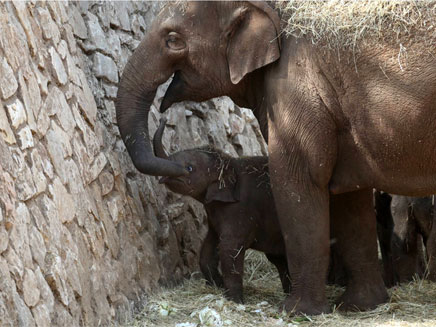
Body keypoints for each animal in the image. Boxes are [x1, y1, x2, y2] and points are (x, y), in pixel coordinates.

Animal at [153, 119, 290, 304]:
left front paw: (235, 301)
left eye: (189, 168)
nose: (163, 120)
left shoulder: (240, 210)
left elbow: (229, 249)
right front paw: (217, 286)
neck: (230, 164)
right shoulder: (214, 216)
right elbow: (208, 248)